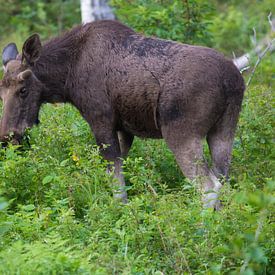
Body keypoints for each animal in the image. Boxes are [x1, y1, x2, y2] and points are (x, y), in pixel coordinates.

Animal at [0, 20, 246, 209]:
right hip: (224, 130)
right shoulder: (124, 130)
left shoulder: (101, 120)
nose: (7, 137)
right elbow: (122, 177)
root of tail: (232, 82)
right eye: (1, 93)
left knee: (209, 187)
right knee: (222, 179)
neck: (66, 79)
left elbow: (116, 183)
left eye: (23, 89)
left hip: (182, 133)